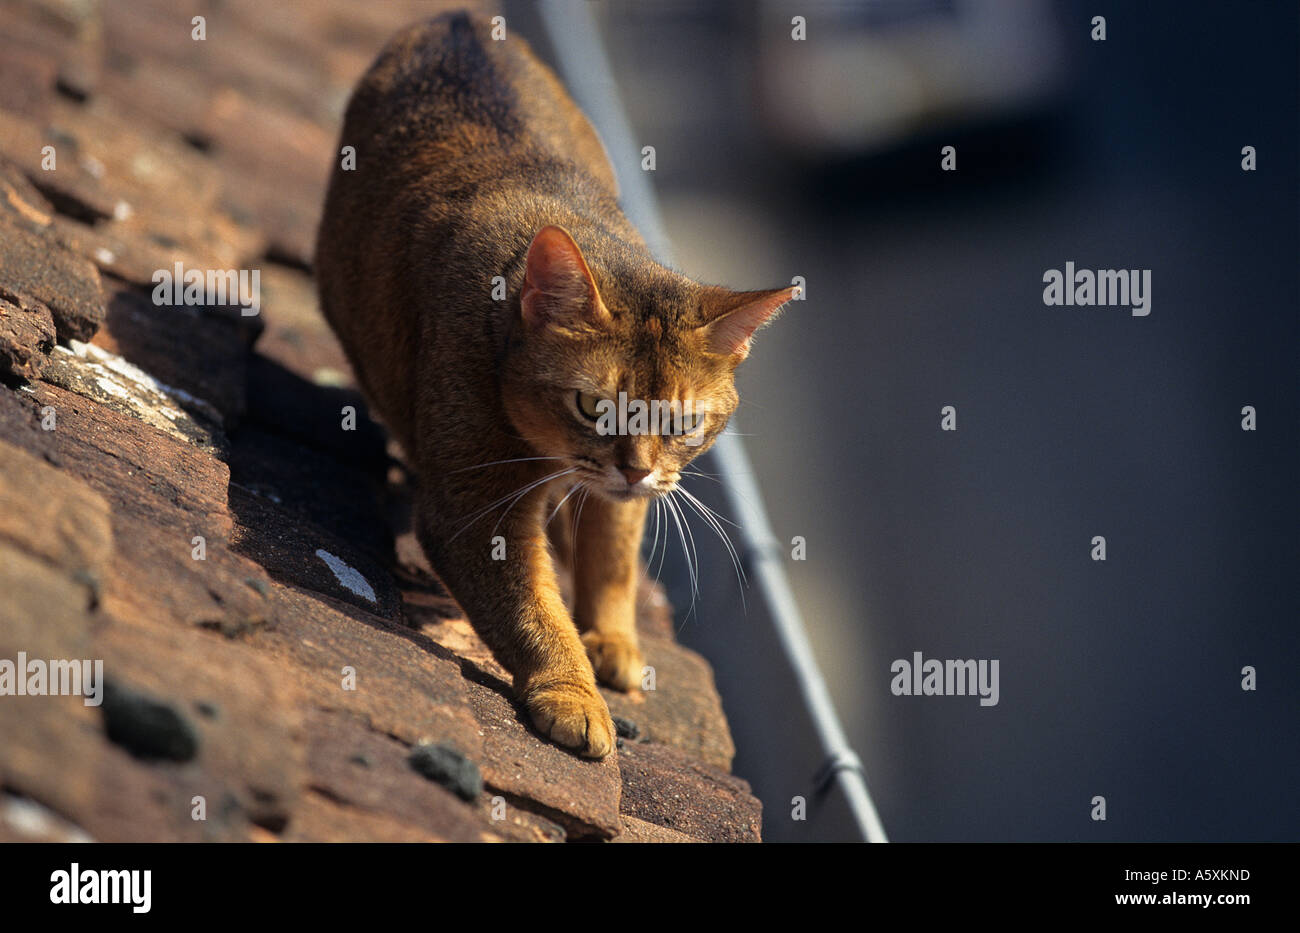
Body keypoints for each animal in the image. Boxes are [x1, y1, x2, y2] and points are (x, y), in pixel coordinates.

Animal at [314, 12, 790, 758]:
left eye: (683, 424)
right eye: (593, 407)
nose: (634, 469)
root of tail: (457, 18)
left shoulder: (625, 496)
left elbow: (612, 554)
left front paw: (612, 638)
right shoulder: (477, 503)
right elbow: (529, 607)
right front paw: (572, 693)